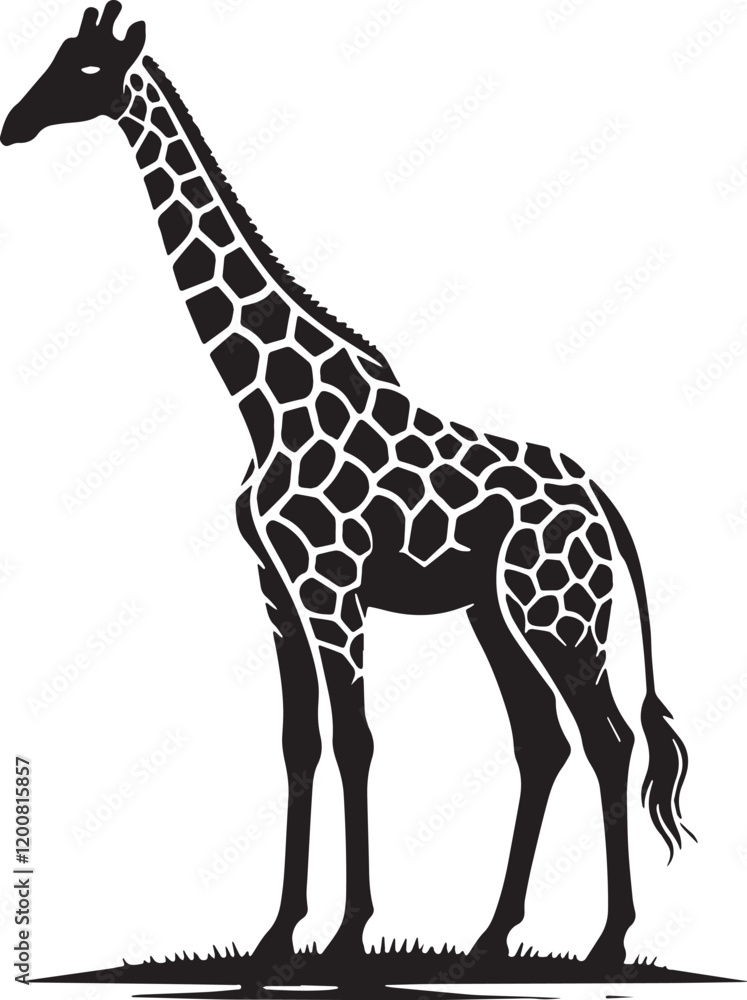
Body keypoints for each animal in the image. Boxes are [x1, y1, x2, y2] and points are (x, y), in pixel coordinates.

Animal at [2, 2, 693, 971]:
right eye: (58, 55)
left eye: (88, 70)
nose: (11, 124)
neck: (262, 404)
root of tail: (604, 505)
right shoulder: (275, 590)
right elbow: (300, 745)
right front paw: (275, 936)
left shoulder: (332, 588)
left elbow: (356, 741)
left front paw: (347, 935)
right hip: (494, 614)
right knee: (542, 743)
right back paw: (490, 937)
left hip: (559, 614)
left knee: (609, 740)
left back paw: (605, 943)